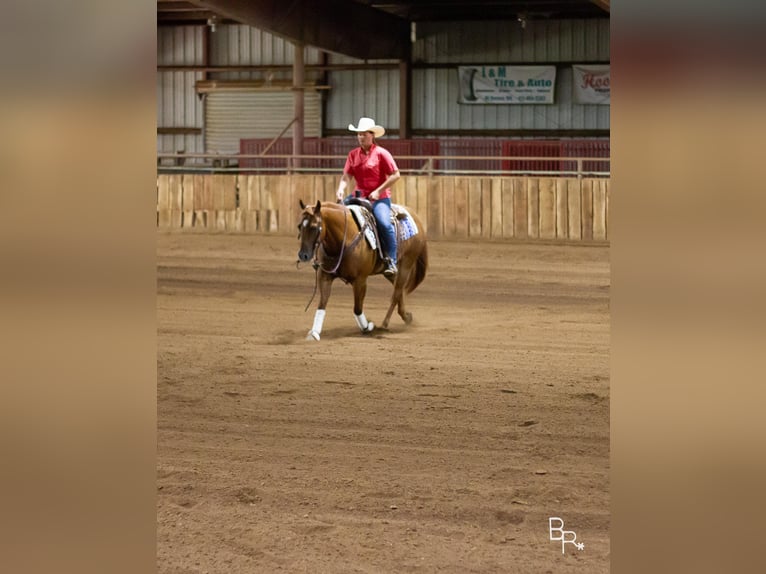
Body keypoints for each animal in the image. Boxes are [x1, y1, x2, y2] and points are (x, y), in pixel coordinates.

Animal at [296, 199, 428, 342]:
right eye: (299, 226)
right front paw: (314, 332)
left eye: (314, 227)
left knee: (396, 293)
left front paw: (367, 327)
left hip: (406, 264)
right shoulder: (325, 276)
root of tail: (415, 217)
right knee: (399, 290)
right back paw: (406, 316)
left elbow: (357, 308)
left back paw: (384, 324)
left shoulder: (360, 280)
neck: (344, 238)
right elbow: (322, 304)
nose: (303, 255)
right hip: (390, 272)